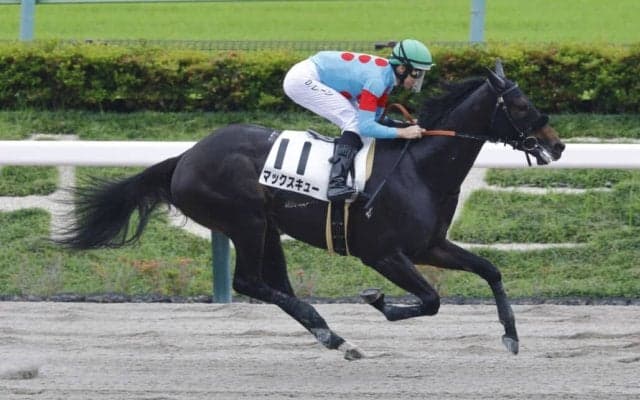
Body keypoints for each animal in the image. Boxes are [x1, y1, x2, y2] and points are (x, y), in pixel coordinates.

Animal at [58, 61, 565, 360]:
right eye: (521, 104)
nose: (557, 146)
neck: (420, 168)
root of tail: (184, 157)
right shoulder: (383, 254)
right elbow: (432, 300)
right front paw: (378, 301)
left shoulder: (430, 246)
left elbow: (490, 270)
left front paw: (511, 336)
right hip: (245, 220)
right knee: (249, 283)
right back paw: (334, 335)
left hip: (266, 227)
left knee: (274, 285)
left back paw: (331, 335)